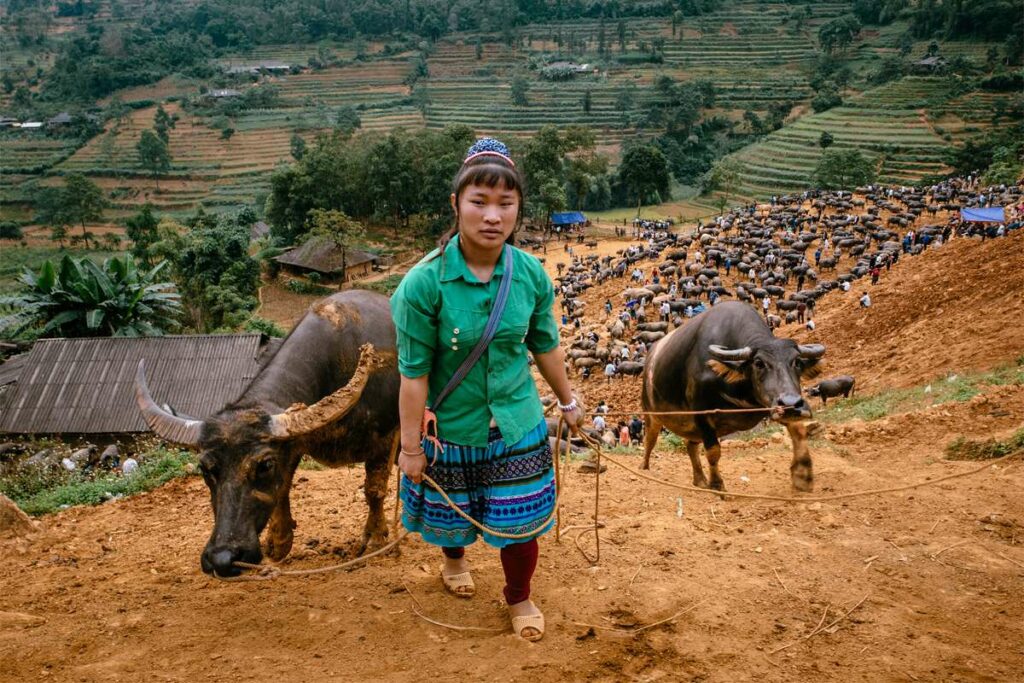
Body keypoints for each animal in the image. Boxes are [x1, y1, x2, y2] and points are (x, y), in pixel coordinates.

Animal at [138, 290, 401, 573]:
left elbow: (374, 490)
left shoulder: (384, 440)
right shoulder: (294, 443)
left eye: (264, 465)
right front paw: (279, 541)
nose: (223, 558)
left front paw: (375, 538)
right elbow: (282, 486)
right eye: (205, 468)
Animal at [643, 301, 827, 491]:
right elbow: (713, 451)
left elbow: (799, 430)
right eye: (759, 363)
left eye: (797, 362)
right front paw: (717, 485)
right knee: (650, 439)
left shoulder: (770, 405)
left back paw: (700, 480)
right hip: (651, 413)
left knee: (690, 445)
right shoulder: (702, 414)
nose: (791, 404)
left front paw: (802, 475)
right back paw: (645, 469)